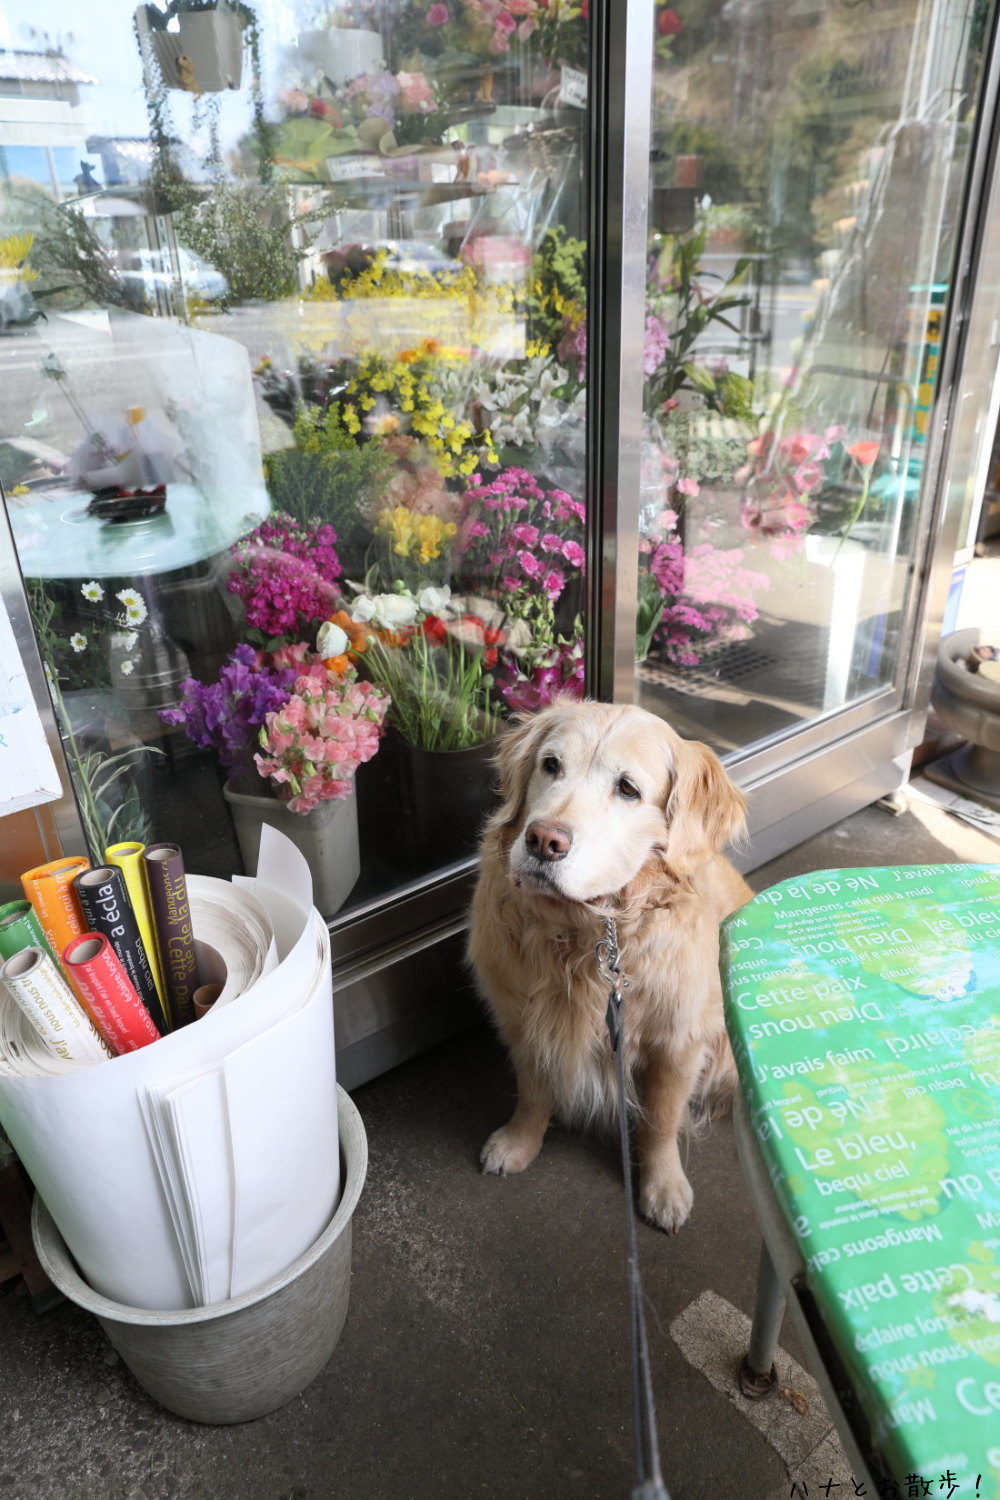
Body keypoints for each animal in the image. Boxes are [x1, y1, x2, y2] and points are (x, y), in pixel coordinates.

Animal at [470, 699, 749, 1230]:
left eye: (627, 789)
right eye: (550, 764)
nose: (543, 840)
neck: (589, 931)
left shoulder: (679, 1041)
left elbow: (661, 1120)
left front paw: (663, 1186)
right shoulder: (523, 1021)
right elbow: (533, 1091)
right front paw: (519, 1142)